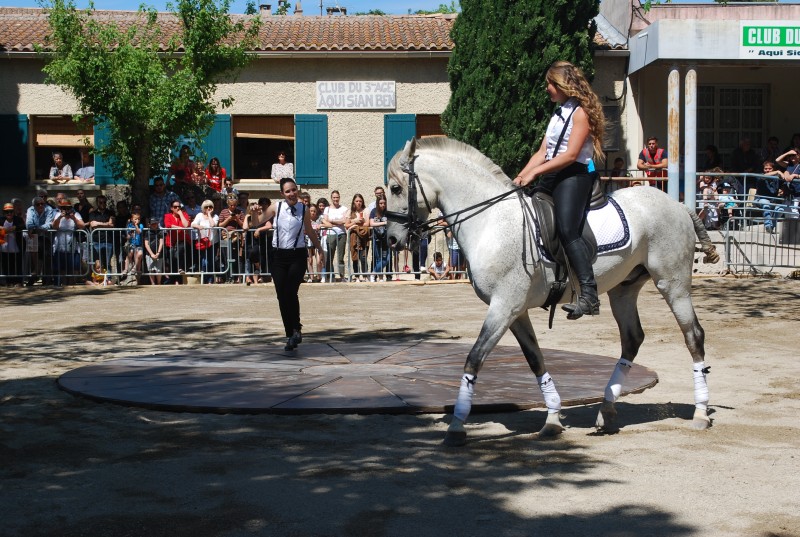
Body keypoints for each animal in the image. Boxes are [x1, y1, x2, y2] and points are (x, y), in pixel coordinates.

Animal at [386, 137, 720, 444]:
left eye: (396, 188)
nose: (390, 239)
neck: (491, 222)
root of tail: (678, 204)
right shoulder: (515, 310)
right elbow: (535, 359)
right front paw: (552, 419)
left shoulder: (504, 306)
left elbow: (475, 357)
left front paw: (457, 425)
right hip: (624, 290)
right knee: (632, 339)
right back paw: (606, 410)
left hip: (673, 284)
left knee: (693, 336)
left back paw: (700, 413)